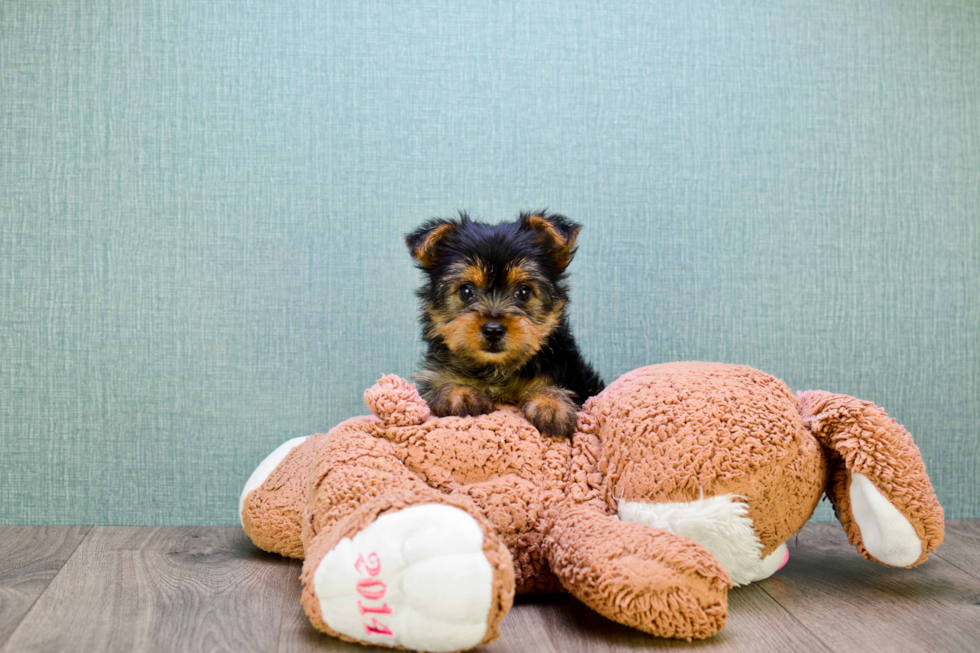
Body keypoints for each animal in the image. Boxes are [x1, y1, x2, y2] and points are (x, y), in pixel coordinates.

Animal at [402, 213, 600, 438]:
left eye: (523, 292)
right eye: (466, 291)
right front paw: (459, 392)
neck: (496, 369)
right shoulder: (433, 374)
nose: (493, 330)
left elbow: (549, 384)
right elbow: (439, 383)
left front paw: (551, 404)